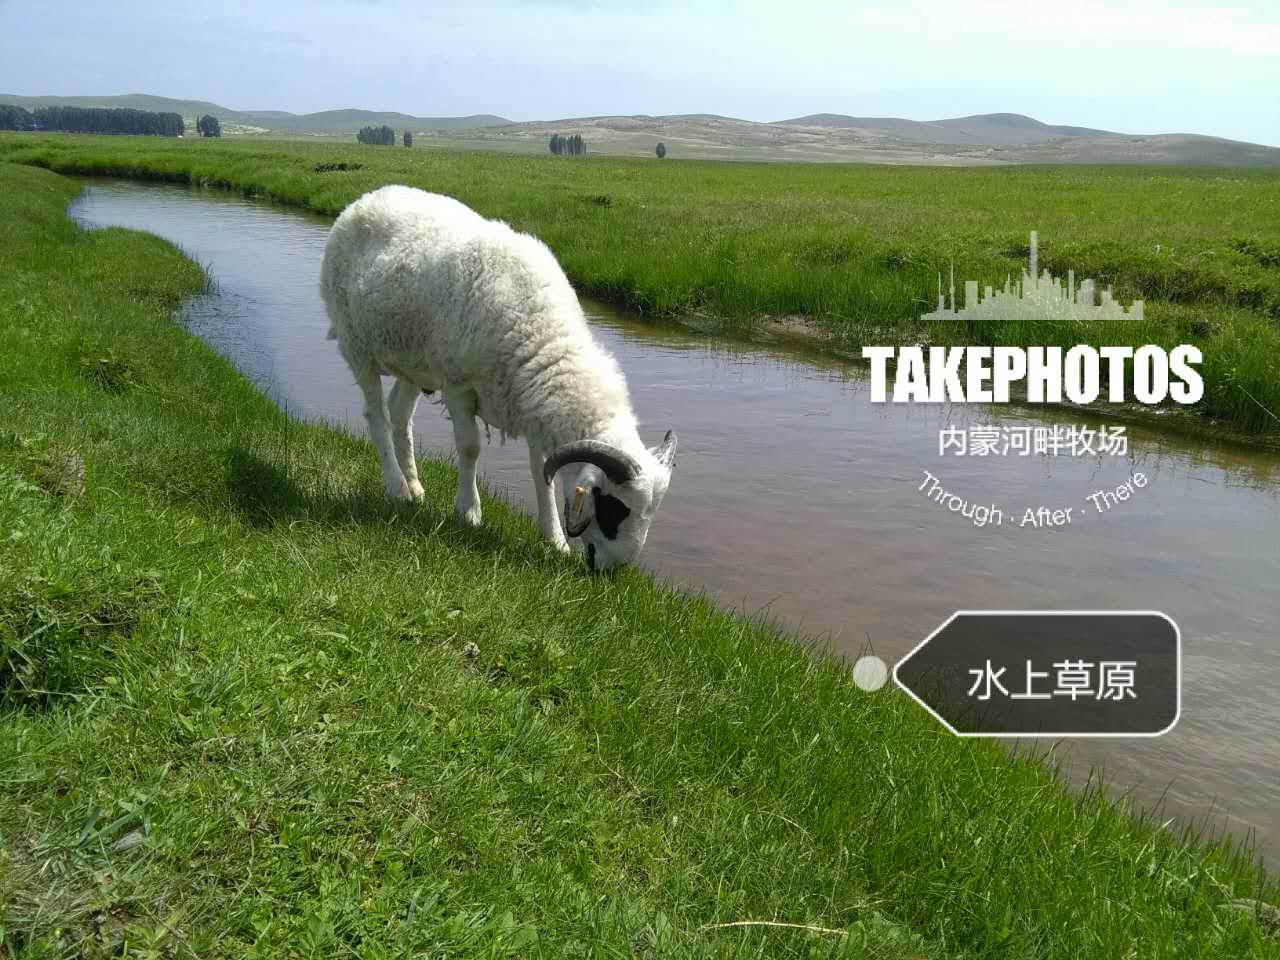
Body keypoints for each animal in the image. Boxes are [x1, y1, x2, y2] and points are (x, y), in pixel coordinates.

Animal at [320, 188, 680, 570]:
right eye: (614, 507)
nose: (613, 573)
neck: (542, 337)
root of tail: (366, 198)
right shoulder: (458, 385)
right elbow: (470, 447)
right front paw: (469, 512)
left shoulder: (532, 403)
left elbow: (542, 473)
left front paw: (554, 540)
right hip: (358, 346)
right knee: (377, 415)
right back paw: (396, 487)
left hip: (414, 361)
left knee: (400, 414)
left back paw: (414, 488)